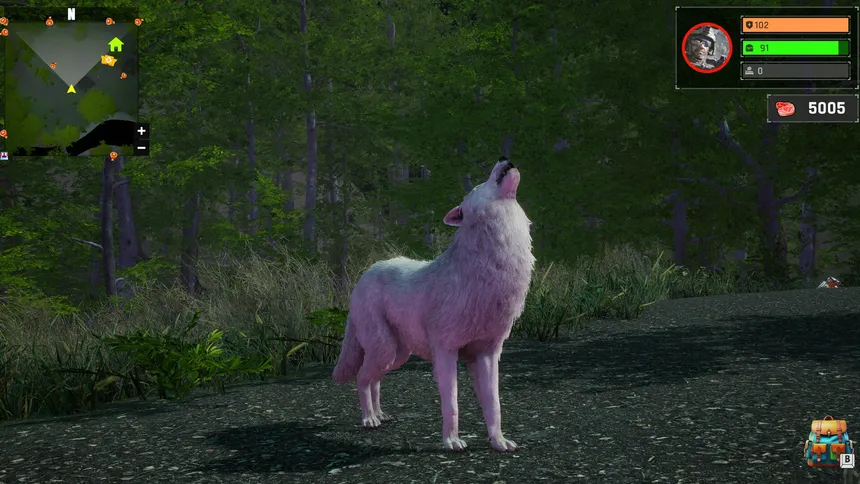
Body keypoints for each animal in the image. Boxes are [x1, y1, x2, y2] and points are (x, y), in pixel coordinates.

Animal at [332, 157, 535, 452]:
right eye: (478, 184)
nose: (504, 158)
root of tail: (365, 274)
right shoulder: (445, 351)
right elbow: (452, 403)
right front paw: (452, 441)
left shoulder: (488, 354)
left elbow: (494, 404)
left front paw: (498, 442)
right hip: (385, 349)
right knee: (361, 377)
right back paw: (369, 418)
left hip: (396, 356)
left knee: (375, 379)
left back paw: (380, 414)